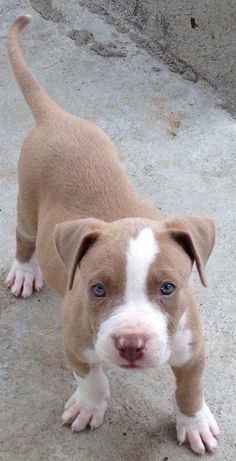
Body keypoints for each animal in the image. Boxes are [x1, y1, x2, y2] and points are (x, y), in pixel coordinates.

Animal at [5, 16, 219, 454]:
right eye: (98, 289)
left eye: (168, 288)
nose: (131, 344)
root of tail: (56, 119)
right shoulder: (74, 340)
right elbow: (92, 377)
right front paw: (89, 406)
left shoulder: (193, 348)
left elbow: (190, 390)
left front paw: (194, 422)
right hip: (28, 203)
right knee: (24, 237)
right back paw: (23, 271)